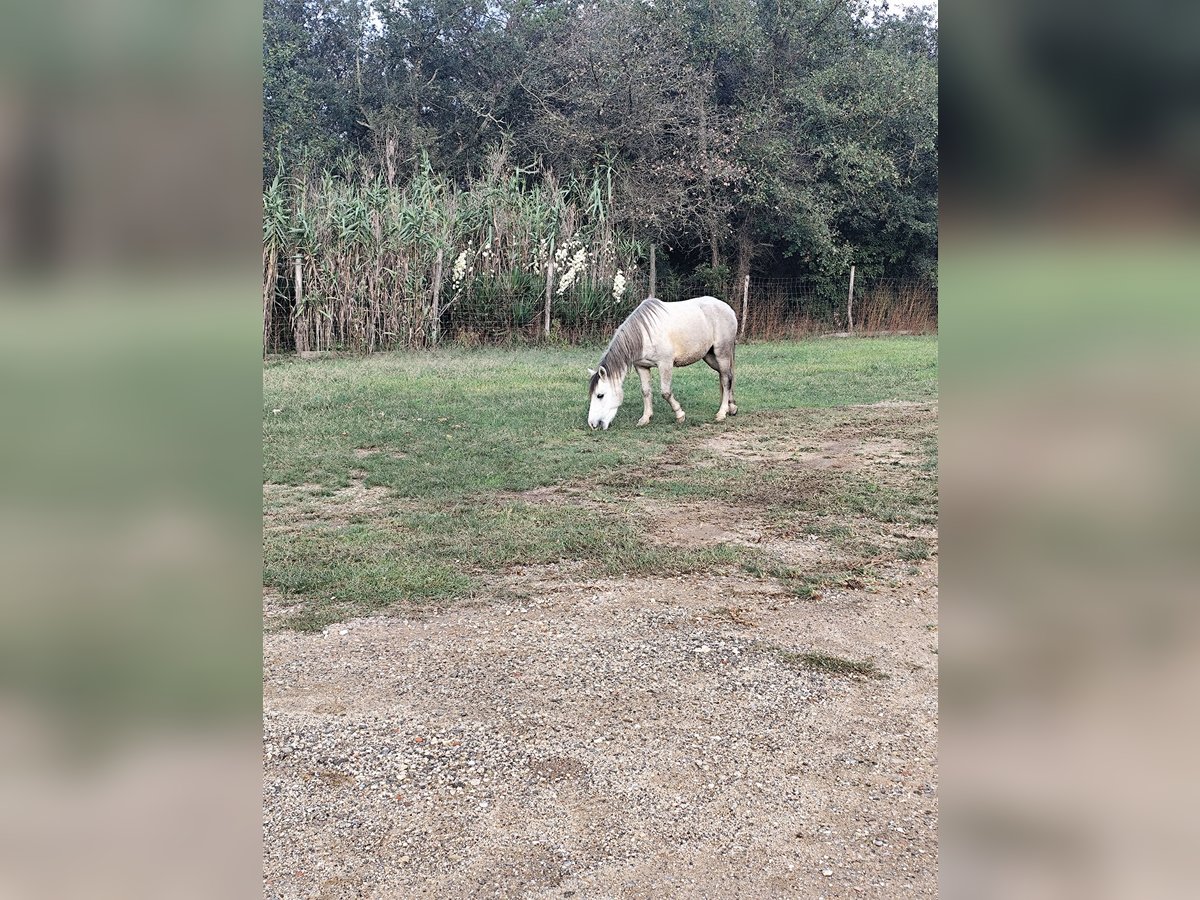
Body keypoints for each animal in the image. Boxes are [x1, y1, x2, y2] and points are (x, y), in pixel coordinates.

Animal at [585, 297, 734, 432]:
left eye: (600, 395)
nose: (592, 424)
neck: (644, 334)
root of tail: (728, 308)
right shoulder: (642, 367)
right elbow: (645, 391)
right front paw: (645, 418)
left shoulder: (665, 364)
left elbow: (665, 392)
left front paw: (680, 415)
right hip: (709, 356)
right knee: (727, 376)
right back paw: (731, 407)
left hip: (722, 354)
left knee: (726, 379)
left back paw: (722, 413)